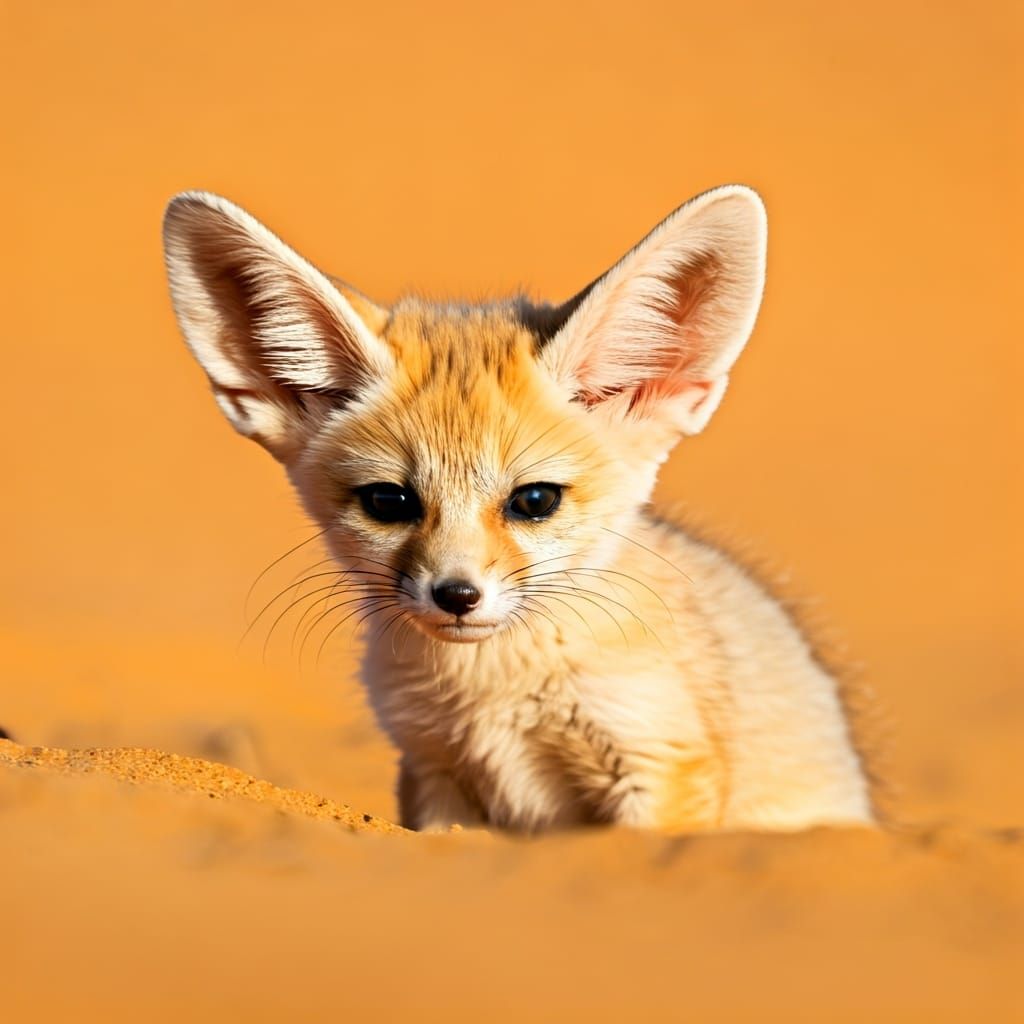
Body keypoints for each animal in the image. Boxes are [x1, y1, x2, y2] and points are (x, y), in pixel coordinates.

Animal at [162, 185, 876, 833]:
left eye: (534, 500)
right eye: (389, 501)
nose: (456, 595)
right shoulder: (435, 769)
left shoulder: (657, 756)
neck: (493, 694)